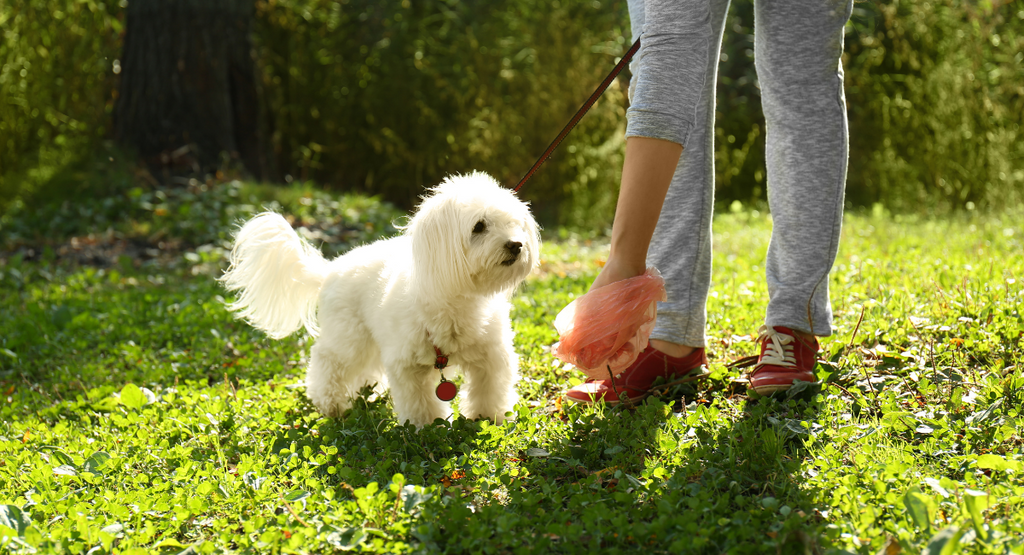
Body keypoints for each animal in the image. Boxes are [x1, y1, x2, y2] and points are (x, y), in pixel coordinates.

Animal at [220, 172, 540, 428]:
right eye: (479, 226)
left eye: (514, 224)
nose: (516, 245)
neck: (457, 299)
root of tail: (329, 269)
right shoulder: (407, 365)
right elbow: (420, 401)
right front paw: (428, 426)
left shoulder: (492, 356)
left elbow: (490, 388)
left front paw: (489, 417)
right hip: (349, 338)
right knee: (328, 361)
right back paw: (331, 403)